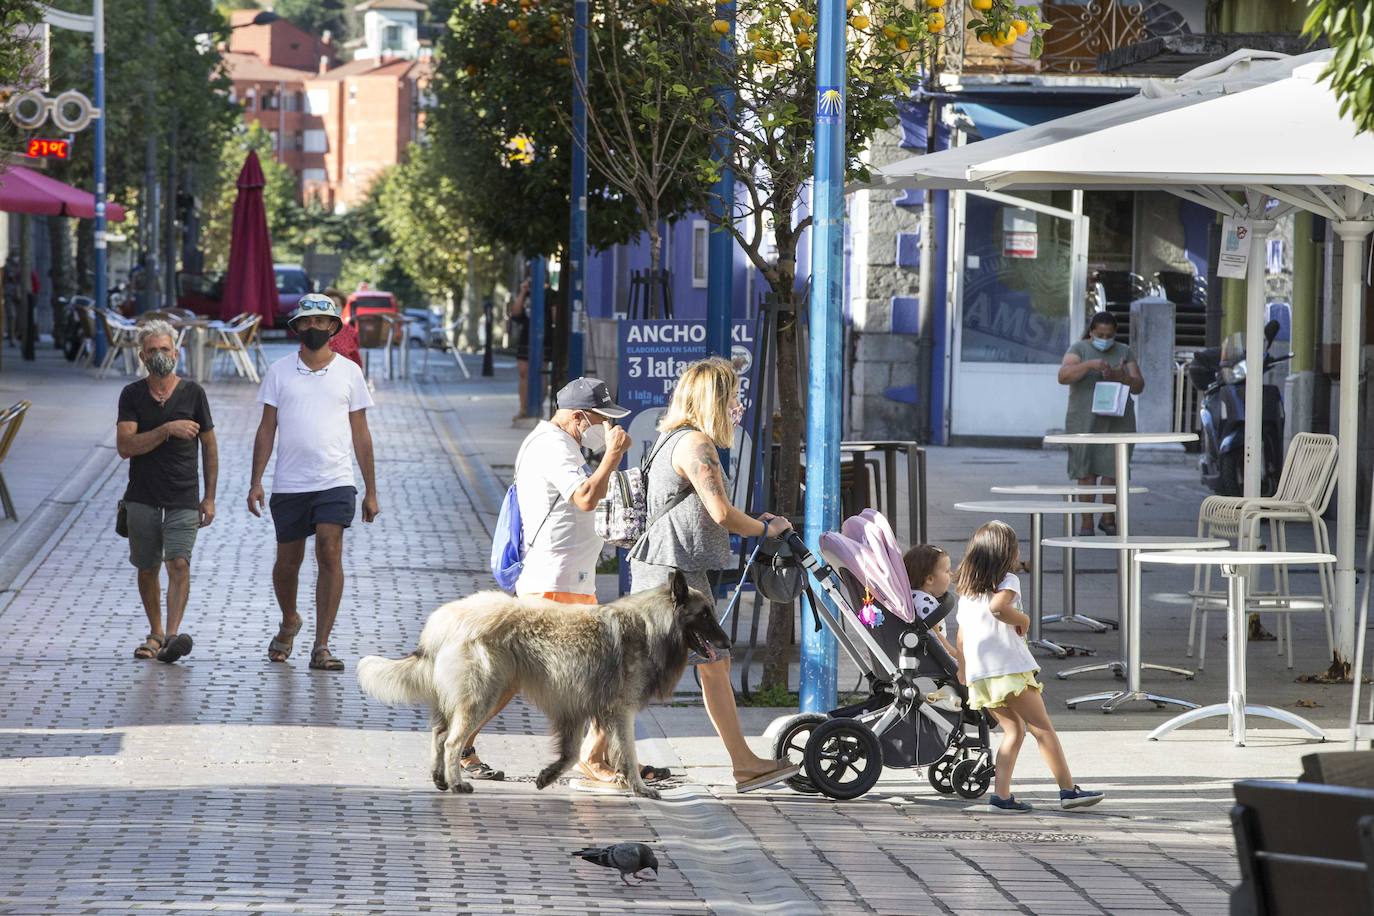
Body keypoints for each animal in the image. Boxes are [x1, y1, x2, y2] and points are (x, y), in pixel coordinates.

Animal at [354, 568, 730, 796]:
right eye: (704, 615)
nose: (727, 643)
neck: (652, 625)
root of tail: (445, 621)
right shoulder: (618, 710)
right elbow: (624, 751)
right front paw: (639, 787)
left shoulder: (578, 706)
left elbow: (573, 751)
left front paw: (549, 775)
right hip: (484, 695)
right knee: (451, 741)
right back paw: (458, 783)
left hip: (478, 694)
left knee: (439, 733)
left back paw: (439, 779)